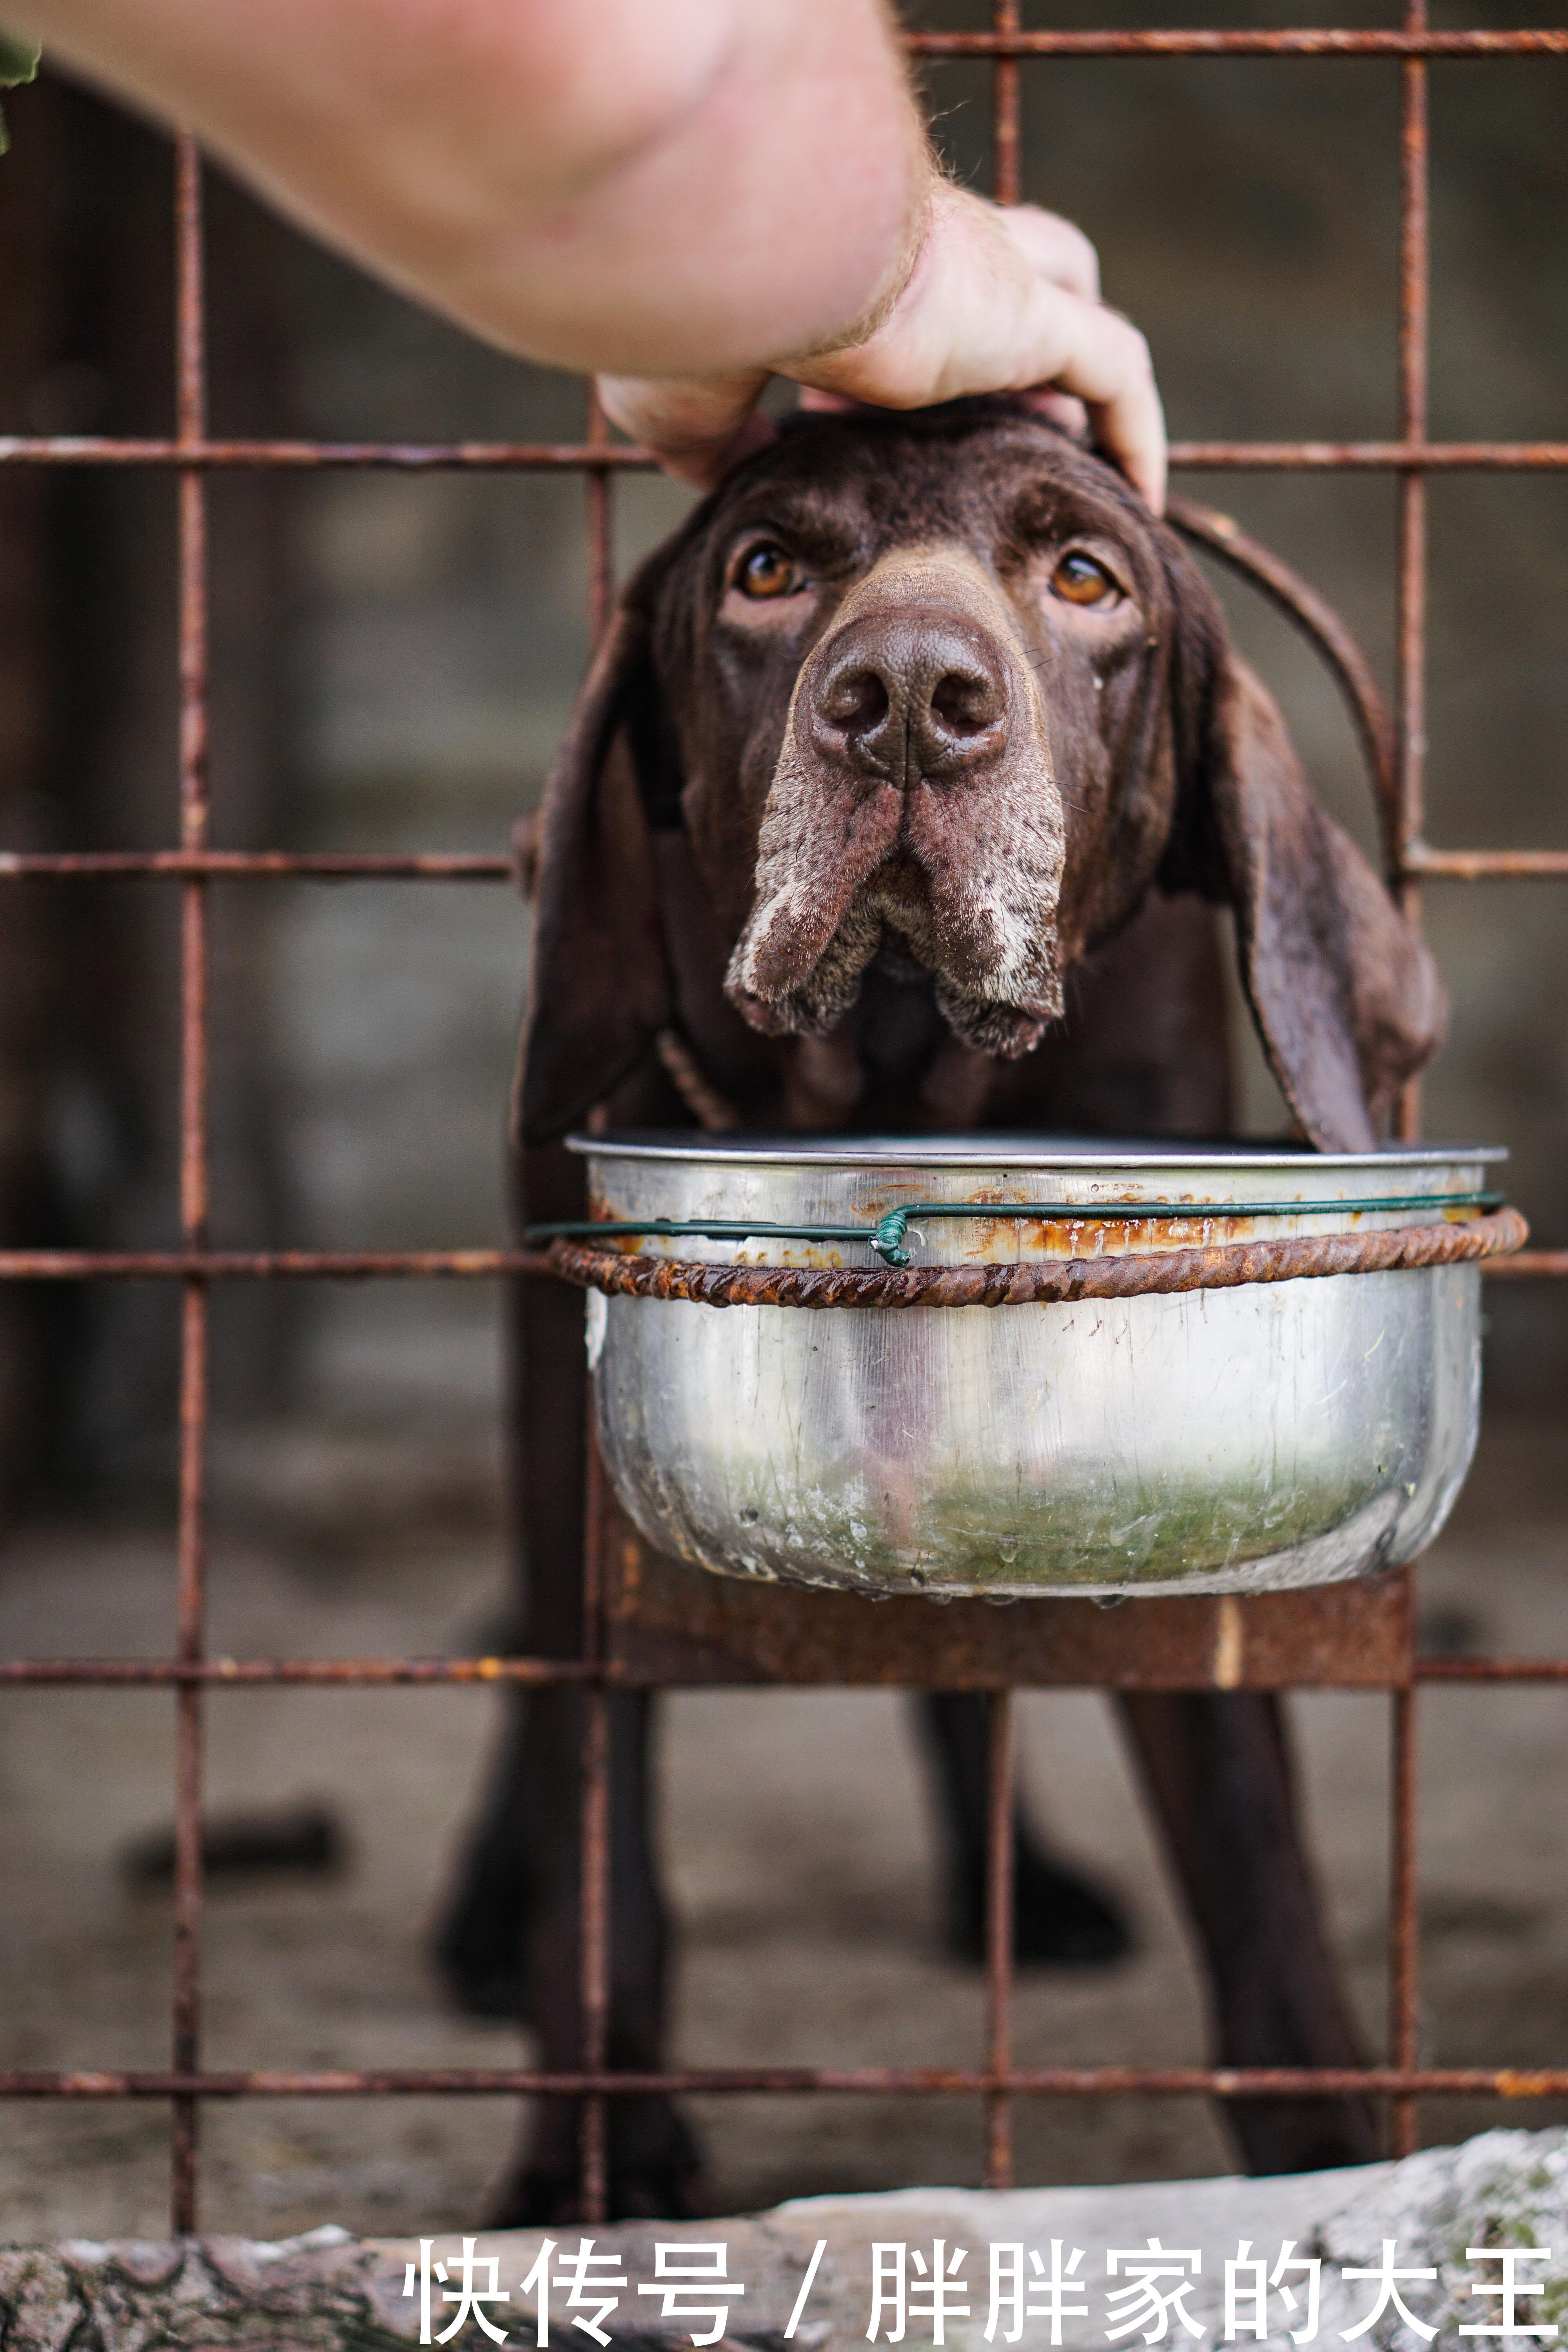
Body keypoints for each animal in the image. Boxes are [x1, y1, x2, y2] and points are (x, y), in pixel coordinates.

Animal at [444, 400, 1448, 2220]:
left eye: (1086, 576)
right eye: (767, 567)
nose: (907, 694)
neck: (897, 1065)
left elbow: (1246, 1835)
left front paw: (1326, 2161)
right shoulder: (569, 1373)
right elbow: (594, 1754)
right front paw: (586, 2158)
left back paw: (1020, 1881)